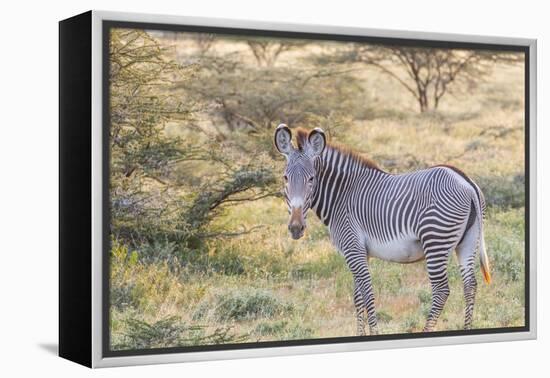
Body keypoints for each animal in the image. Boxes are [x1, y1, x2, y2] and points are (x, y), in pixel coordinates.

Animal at [274, 123, 494, 334]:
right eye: (285, 178)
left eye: (311, 179)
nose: (296, 228)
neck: (341, 195)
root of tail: (466, 182)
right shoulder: (361, 252)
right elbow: (358, 297)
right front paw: (360, 334)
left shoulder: (352, 248)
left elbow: (368, 294)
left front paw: (374, 332)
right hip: (467, 242)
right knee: (470, 285)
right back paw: (467, 328)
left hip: (435, 240)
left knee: (441, 290)